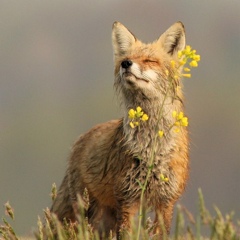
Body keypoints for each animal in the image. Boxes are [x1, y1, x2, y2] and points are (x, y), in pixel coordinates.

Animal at [51, 21, 189, 239]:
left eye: (150, 60)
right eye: (125, 59)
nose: (126, 64)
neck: (152, 149)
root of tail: (80, 140)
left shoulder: (166, 201)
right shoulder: (127, 198)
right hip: (88, 213)